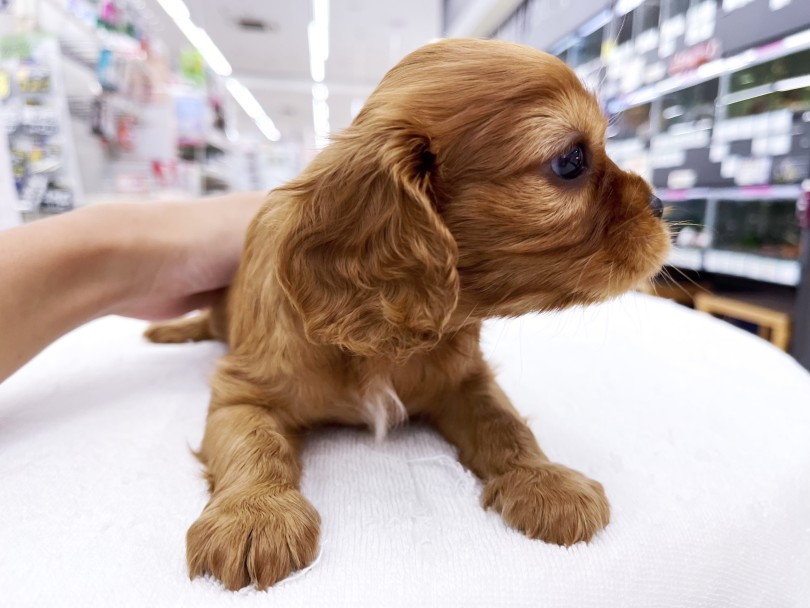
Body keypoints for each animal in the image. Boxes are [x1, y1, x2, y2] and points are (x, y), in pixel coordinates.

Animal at [145, 38, 668, 588]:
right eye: (570, 161)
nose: (660, 203)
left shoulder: (467, 379)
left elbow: (505, 422)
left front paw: (545, 481)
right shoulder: (242, 390)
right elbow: (252, 442)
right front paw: (254, 514)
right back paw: (166, 331)